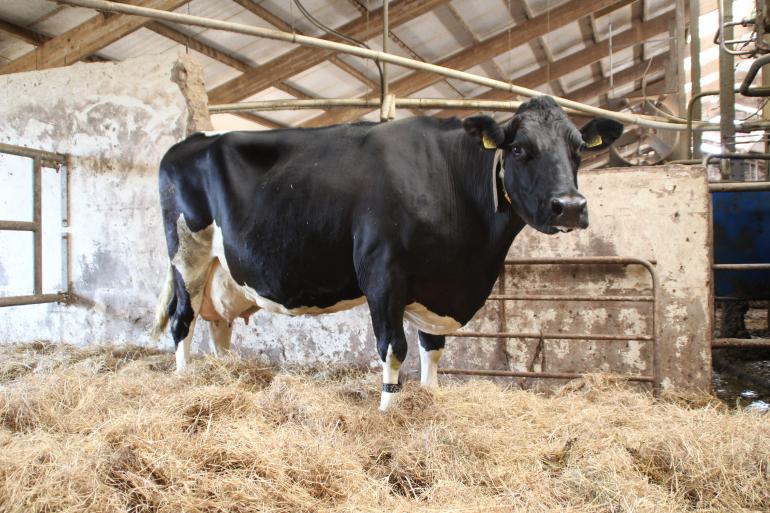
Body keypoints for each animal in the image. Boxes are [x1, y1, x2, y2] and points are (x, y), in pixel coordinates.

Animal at [150, 95, 616, 408]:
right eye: (519, 149)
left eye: (578, 149)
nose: (570, 206)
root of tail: (186, 142)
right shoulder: (382, 273)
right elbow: (394, 348)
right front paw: (388, 413)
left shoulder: (437, 286)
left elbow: (433, 348)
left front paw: (429, 399)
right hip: (187, 256)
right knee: (182, 319)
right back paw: (183, 379)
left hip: (222, 271)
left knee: (218, 326)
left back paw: (222, 377)